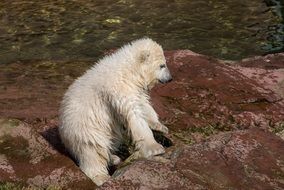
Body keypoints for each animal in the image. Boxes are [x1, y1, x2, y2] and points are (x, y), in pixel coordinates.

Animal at [58, 37, 172, 186]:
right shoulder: (119, 88)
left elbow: (143, 104)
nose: (170, 78)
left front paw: (160, 126)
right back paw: (101, 177)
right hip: (85, 128)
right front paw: (155, 147)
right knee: (93, 151)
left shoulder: (134, 88)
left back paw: (113, 157)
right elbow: (134, 115)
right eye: (162, 65)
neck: (129, 70)